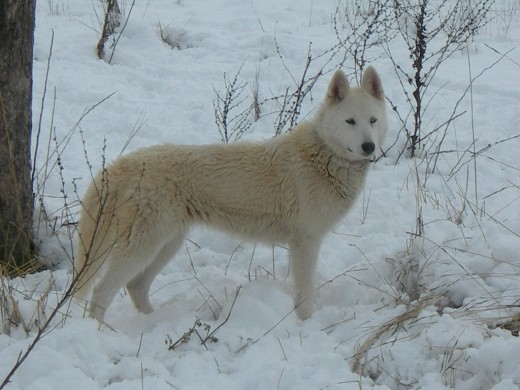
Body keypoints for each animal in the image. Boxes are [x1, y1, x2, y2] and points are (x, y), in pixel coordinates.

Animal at [75, 67, 388, 322]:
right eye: (350, 121)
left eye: (372, 120)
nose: (369, 147)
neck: (325, 156)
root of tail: (120, 166)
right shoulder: (305, 242)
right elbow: (304, 296)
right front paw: (306, 325)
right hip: (143, 247)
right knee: (101, 292)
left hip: (167, 244)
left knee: (135, 287)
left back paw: (155, 324)